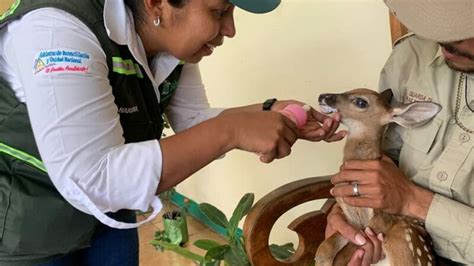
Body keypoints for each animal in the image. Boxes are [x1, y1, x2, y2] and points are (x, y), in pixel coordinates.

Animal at [314, 89, 440, 266]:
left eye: (361, 102)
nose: (323, 96)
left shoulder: (381, 218)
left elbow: (347, 253)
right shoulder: (350, 218)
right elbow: (326, 248)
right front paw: (322, 258)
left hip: (404, 236)